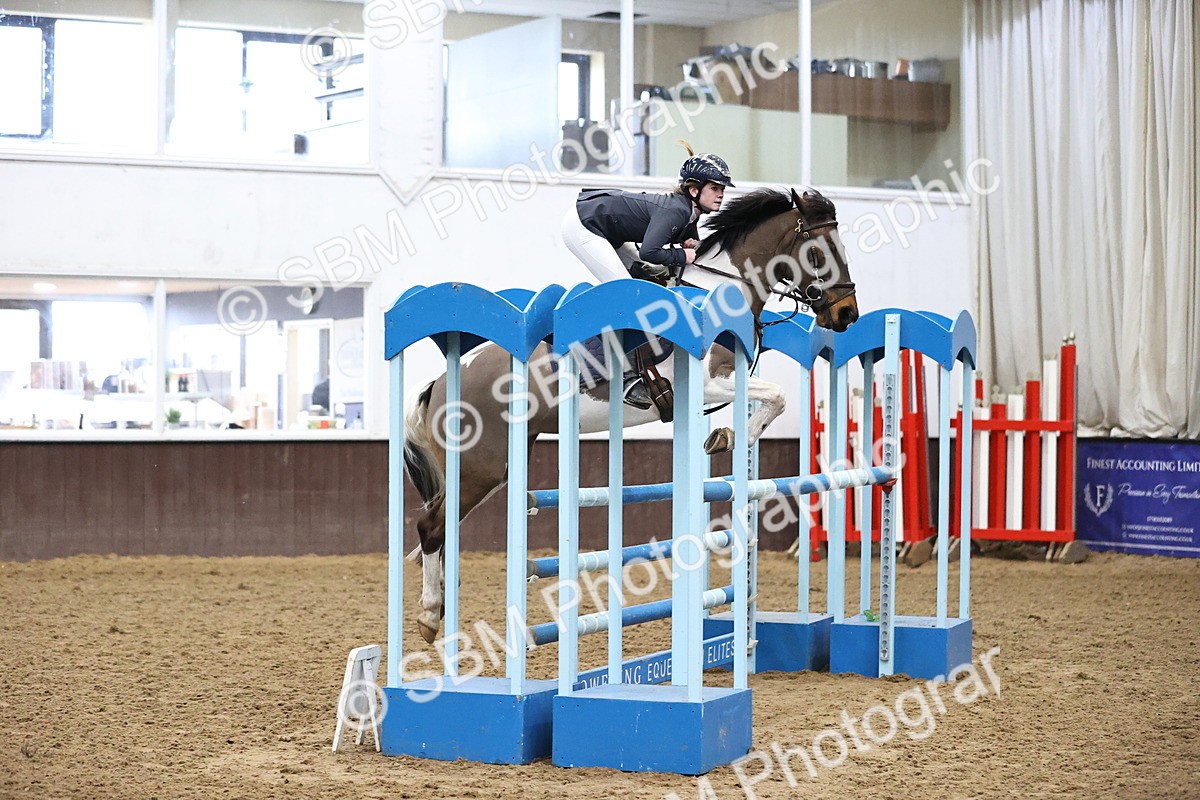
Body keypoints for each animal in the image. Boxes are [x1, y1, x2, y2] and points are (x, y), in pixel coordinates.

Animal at [403, 187, 858, 643]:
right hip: (480, 466)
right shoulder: (707, 381)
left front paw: (729, 437)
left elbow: (772, 400)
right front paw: (733, 436)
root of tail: (442, 381)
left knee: (444, 529)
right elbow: (777, 396)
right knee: (432, 526)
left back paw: (441, 603)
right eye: (819, 252)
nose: (847, 315)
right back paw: (428, 615)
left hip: (492, 464)